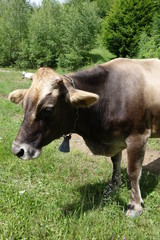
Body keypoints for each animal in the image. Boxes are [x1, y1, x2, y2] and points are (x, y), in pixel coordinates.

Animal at [9, 57, 160, 218]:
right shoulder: (114, 139)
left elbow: (133, 172)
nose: (17, 150)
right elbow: (116, 162)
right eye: (24, 104)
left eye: (48, 109)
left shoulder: (138, 137)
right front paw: (113, 187)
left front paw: (135, 205)